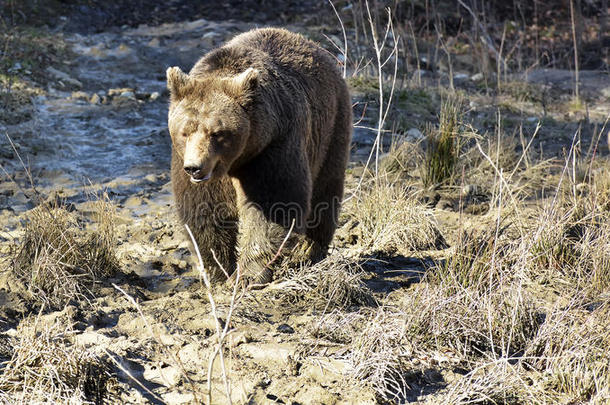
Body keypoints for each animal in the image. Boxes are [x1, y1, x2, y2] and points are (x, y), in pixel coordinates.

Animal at [166, 26, 352, 284]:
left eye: (217, 133)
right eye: (185, 131)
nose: (195, 167)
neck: (235, 160)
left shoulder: (273, 145)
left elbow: (272, 204)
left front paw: (249, 274)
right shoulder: (189, 162)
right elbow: (204, 209)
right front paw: (217, 271)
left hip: (331, 127)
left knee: (325, 190)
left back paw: (310, 250)